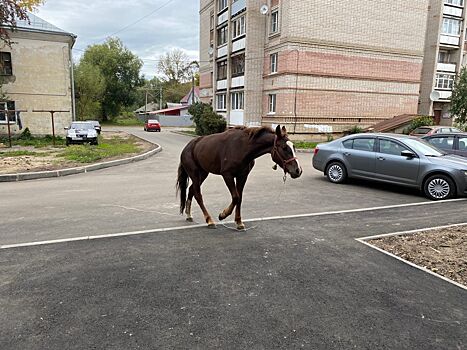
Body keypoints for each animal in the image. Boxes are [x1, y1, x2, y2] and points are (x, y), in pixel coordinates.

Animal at [176, 125, 304, 230]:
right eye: (284, 148)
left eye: (293, 147)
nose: (298, 170)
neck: (242, 147)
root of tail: (187, 147)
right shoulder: (227, 175)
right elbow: (235, 197)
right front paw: (223, 214)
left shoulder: (242, 176)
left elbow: (240, 198)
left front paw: (239, 222)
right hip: (194, 173)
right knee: (198, 195)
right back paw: (209, 220)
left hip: (203, 173)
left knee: (191, 190)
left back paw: (189, 214)